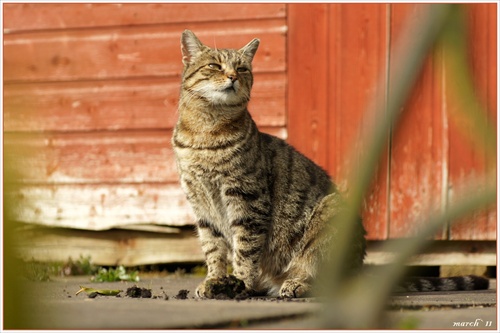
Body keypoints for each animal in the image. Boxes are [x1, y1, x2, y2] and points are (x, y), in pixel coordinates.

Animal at [172, 29, 488, 296]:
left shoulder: (247, 198)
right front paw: (215, 281)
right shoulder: (201, 205)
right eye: (214, 66)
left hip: (328, 218)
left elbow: (244, 249)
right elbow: (213, 249)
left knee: (326, 283)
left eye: (242, 69)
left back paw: (295, 284)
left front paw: (240, 283)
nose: (232, 77)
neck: (205, 132)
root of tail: (358, 269)